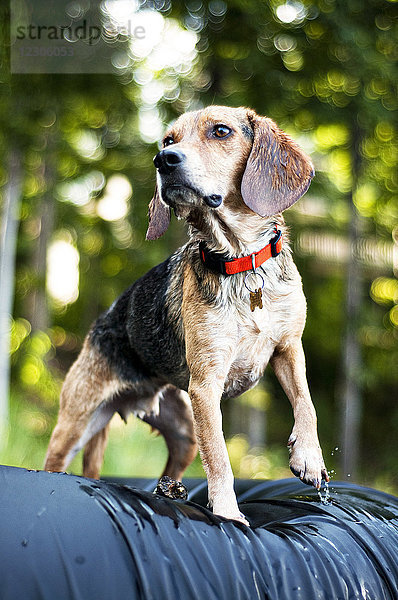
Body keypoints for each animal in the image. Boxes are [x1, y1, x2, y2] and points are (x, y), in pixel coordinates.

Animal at [45, 106, 328, 524]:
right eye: (168, 140)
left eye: (221, 131)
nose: (164, 160)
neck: (242, 261)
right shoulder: (206, 385)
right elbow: (221, 459)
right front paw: (228, 515)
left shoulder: (289, 348)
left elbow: (306, 403)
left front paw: (309, 457)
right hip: (76, 424)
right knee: (54, 465)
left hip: (184, 433)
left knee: (170, 471)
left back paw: (170, 490)